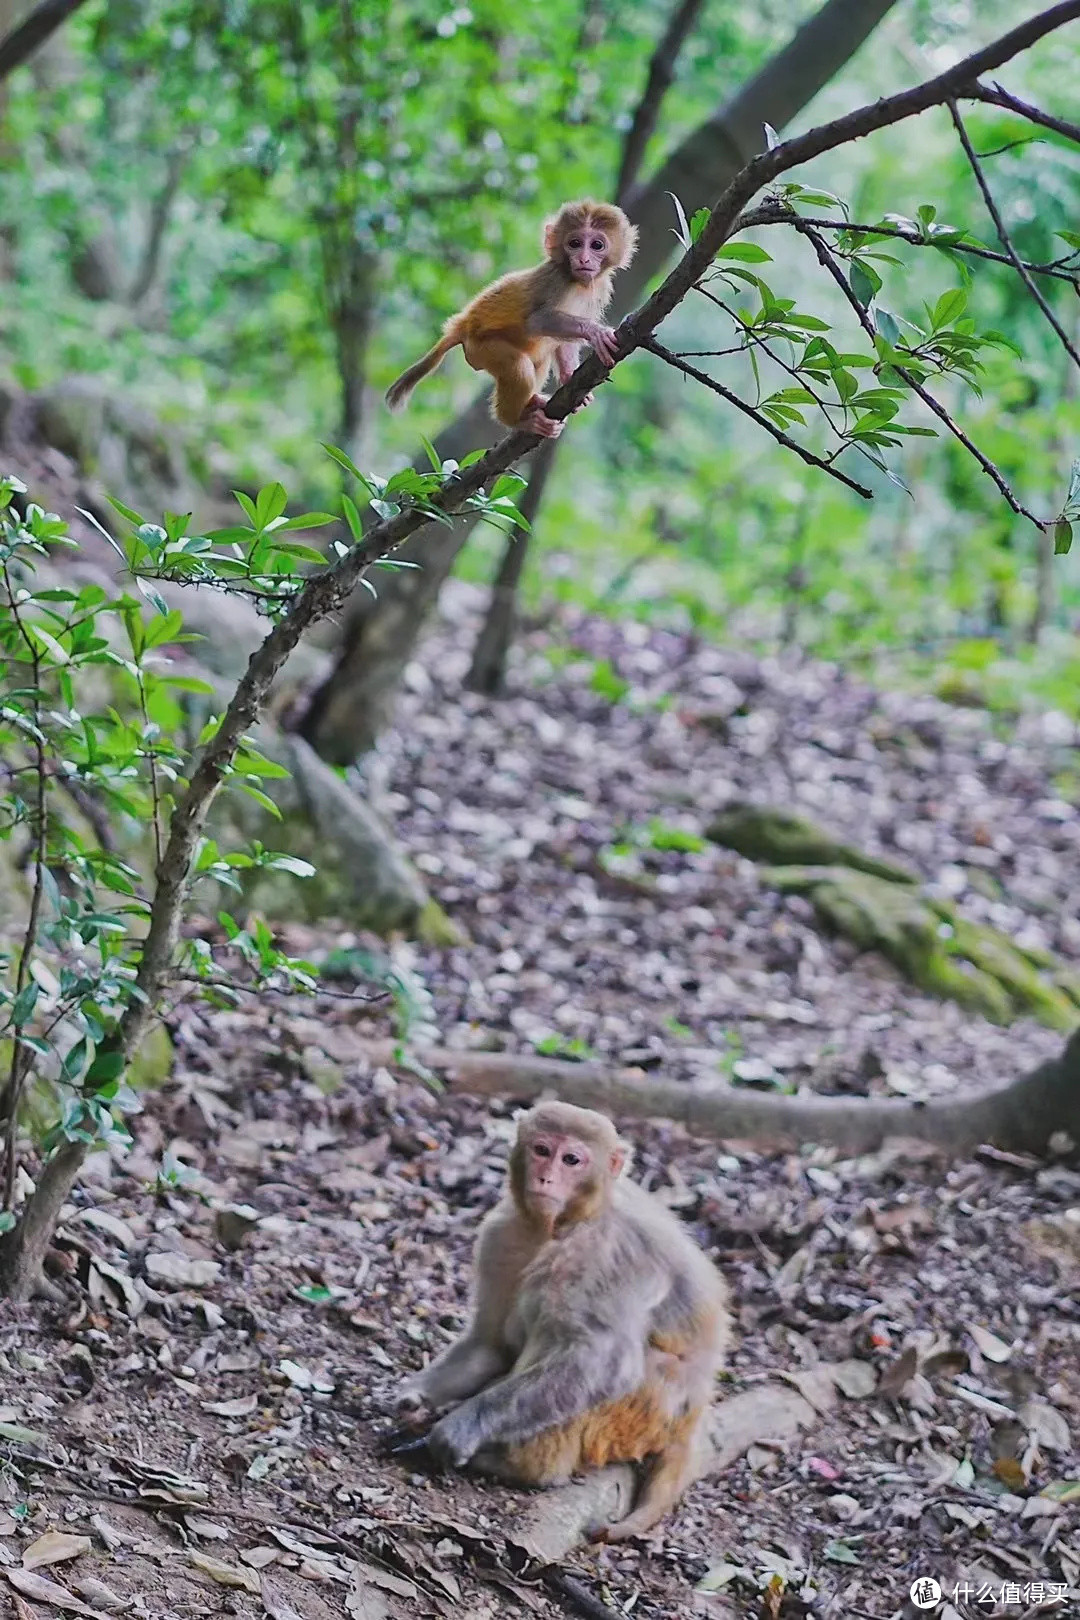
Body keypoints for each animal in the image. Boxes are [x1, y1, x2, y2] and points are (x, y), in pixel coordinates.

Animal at [383, 202, 637, 443]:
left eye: (597, 245)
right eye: (574, 243)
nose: (584, 259)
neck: (578, 283)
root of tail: (462, 325)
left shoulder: (599, 288)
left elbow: (563, 344)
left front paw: (568, 375)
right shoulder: (556, 281)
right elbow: (538, 321)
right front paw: (595, 332)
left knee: (539, 359)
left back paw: (532, 402)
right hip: (481, 349)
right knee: (518, 367)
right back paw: (517, 420)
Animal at [393, 1101, 731, 1542]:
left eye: (572, 1160)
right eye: (541, 1150)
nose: (546, 1177)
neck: (565, 1223)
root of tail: (694, 1411)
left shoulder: (601, 1254)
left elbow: (602, 1363)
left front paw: (460, 1429)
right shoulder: (502, 1232)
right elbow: (490, 1343)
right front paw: (417, 1396)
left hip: (650, 1408)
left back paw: (527, 1467)